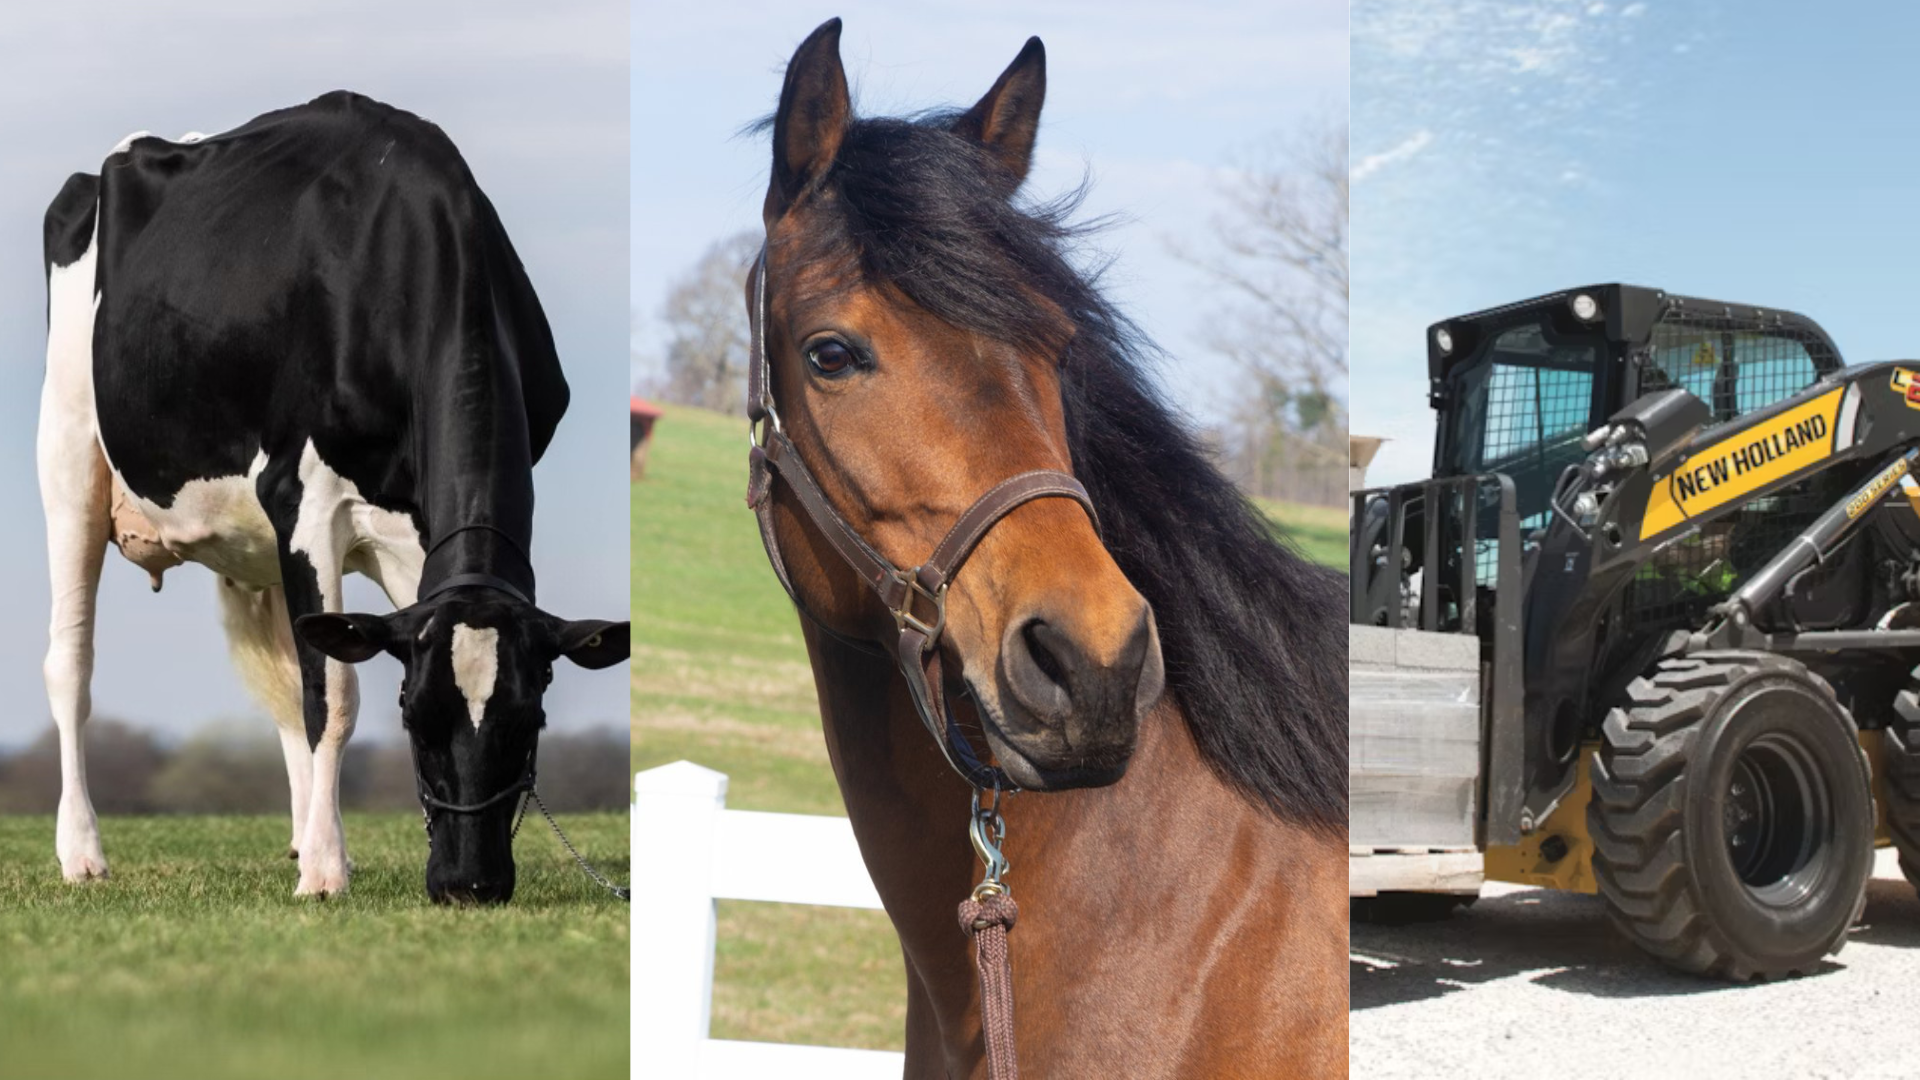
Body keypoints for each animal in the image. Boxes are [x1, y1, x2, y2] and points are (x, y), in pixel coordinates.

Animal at [38, 91, 629, 904]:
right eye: (415, 718)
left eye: (529, 719)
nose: (468, 885)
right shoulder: (305, 499)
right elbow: (337, 693)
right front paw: (325, 870)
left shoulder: (417, 544)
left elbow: (322, 680)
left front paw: (323, 851)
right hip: (67, 451)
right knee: (72, 663)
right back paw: (82, 852)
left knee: (290, 676)